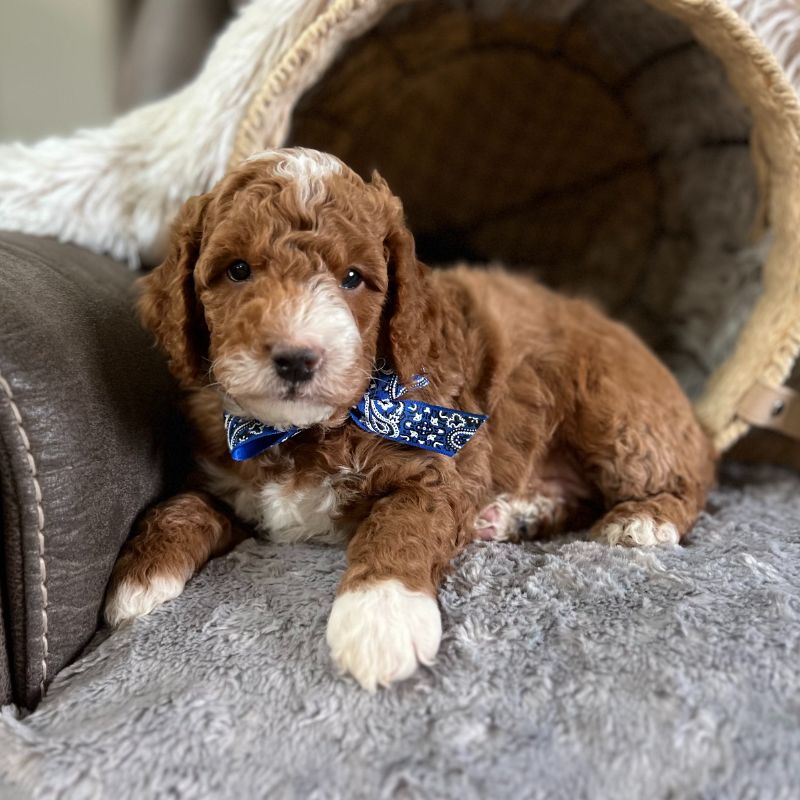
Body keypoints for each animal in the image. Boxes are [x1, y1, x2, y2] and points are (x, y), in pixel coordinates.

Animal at [104, 147, 716, 690]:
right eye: (237, 270)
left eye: (353, 278)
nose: (297, 358)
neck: (306, 430)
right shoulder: (220, 472)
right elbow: (180, 504)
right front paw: (137, 577)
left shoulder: (443, 466)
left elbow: (400, 524)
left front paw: (380, 619)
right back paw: (511, 516)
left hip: (618, 413)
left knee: (684, 480)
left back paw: (642, 520)